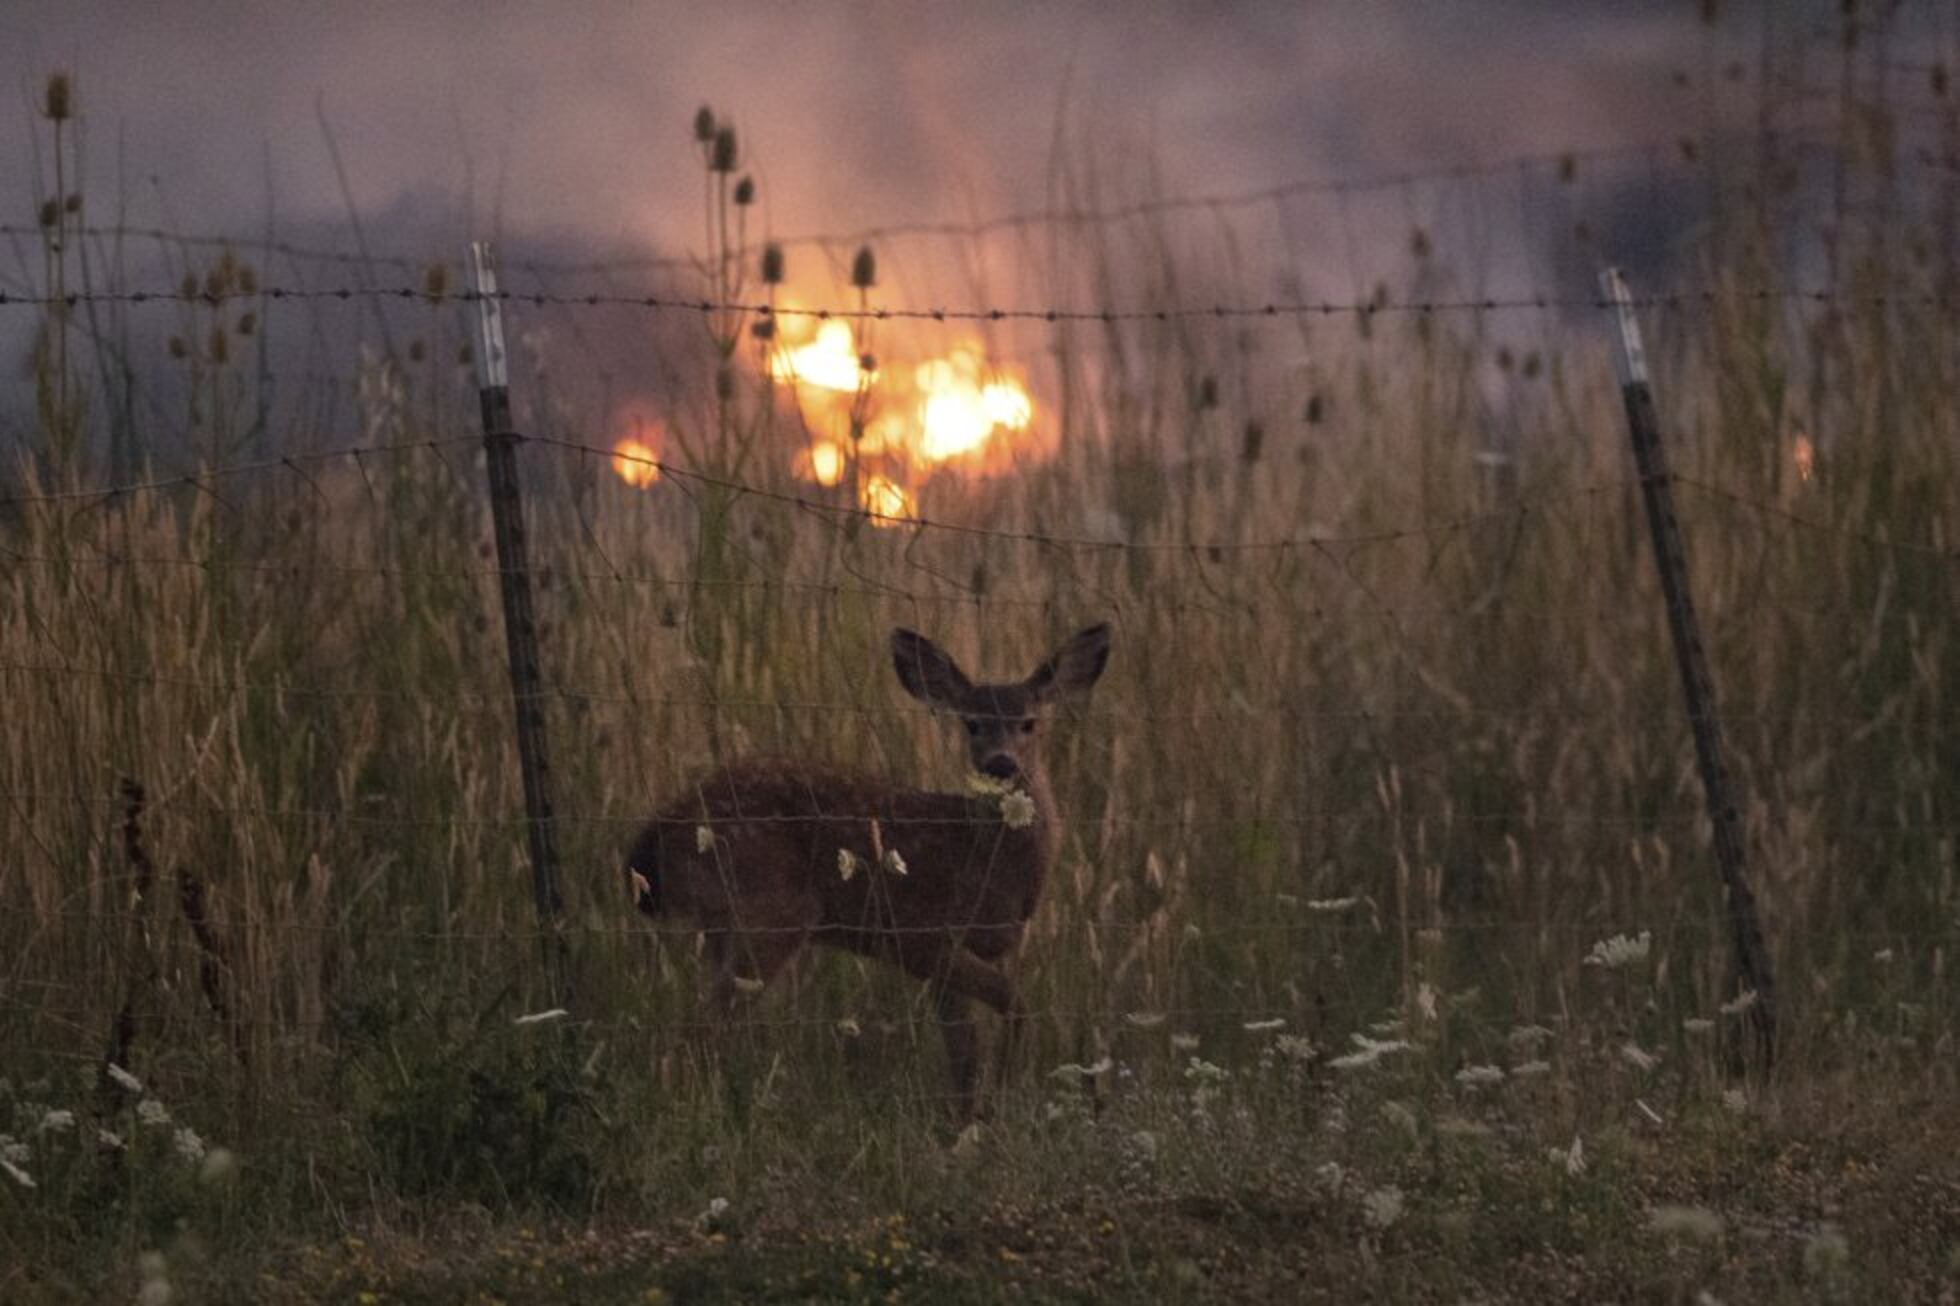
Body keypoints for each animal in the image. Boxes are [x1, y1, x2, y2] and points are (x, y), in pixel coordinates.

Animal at [631, 619, 1113, 1105]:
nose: (1001, 763)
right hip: (770, 913)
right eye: (972, 723)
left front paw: (971, 1115)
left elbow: (964, 1055)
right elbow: (1013, 1006)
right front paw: (1003, 1089)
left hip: (724, 927)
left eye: (1029, 723)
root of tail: (653, 841)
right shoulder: (922, 936)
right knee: (701, 1029)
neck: (983, 856)